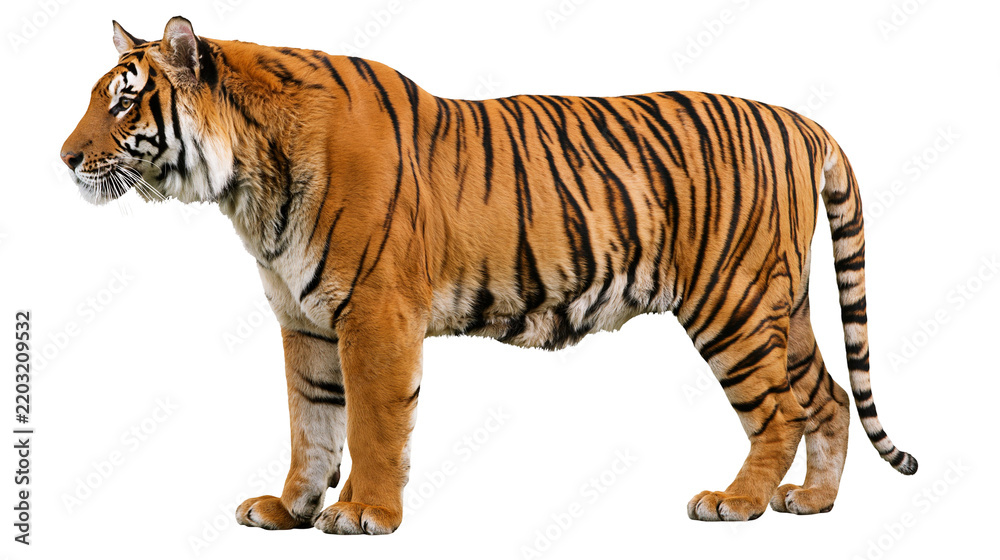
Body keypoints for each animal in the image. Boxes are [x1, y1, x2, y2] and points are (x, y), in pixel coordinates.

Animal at [61, 16, 916, 533]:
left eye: (124, 103)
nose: (64, 158)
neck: (245, 184)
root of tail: (801, 120)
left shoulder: (375, 315)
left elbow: (371, 424)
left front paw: (365, 514)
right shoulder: (304, 323)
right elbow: (311, 424)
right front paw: (288, 508)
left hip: (732, 303)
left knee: (780, 410)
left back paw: (735, 502)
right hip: (780, 303)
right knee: (829, 396)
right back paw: (812, 500)